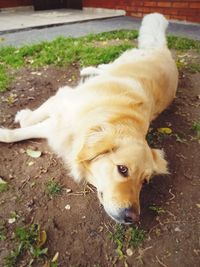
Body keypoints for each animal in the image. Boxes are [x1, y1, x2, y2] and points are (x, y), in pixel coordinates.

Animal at [0, 13, 178, 225]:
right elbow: (27, 123)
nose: (132, 218)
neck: (108, 114)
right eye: (122, 169)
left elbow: (23, 130)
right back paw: (88, 69)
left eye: (144, 181)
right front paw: (22, 116)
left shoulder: (59, 126)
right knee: (106, 66)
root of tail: (164, 51)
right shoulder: (63, 100)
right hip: (120, 62)